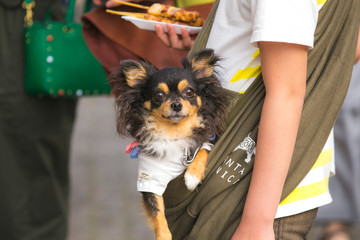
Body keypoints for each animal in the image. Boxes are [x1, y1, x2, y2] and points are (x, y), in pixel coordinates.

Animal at [111, 48, 226, 240]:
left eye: (189, 92)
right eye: (158, 95)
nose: (176, 104)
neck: (173, 133)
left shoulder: (205, 141)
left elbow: (202, 151)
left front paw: (192, 177)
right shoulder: (149, 179)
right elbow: (157, 213)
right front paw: (164, 235)